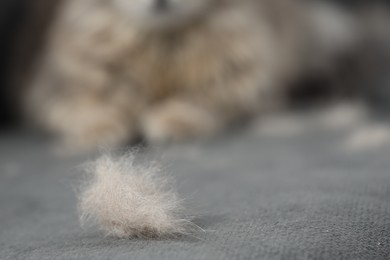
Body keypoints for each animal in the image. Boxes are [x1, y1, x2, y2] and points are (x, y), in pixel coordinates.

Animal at [25, 0, 388, 151]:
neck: (164, 48)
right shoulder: (53, 88)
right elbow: (94, 104)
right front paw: (99, 129)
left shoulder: (242, 82)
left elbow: (200, 100)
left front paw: (174, 120)